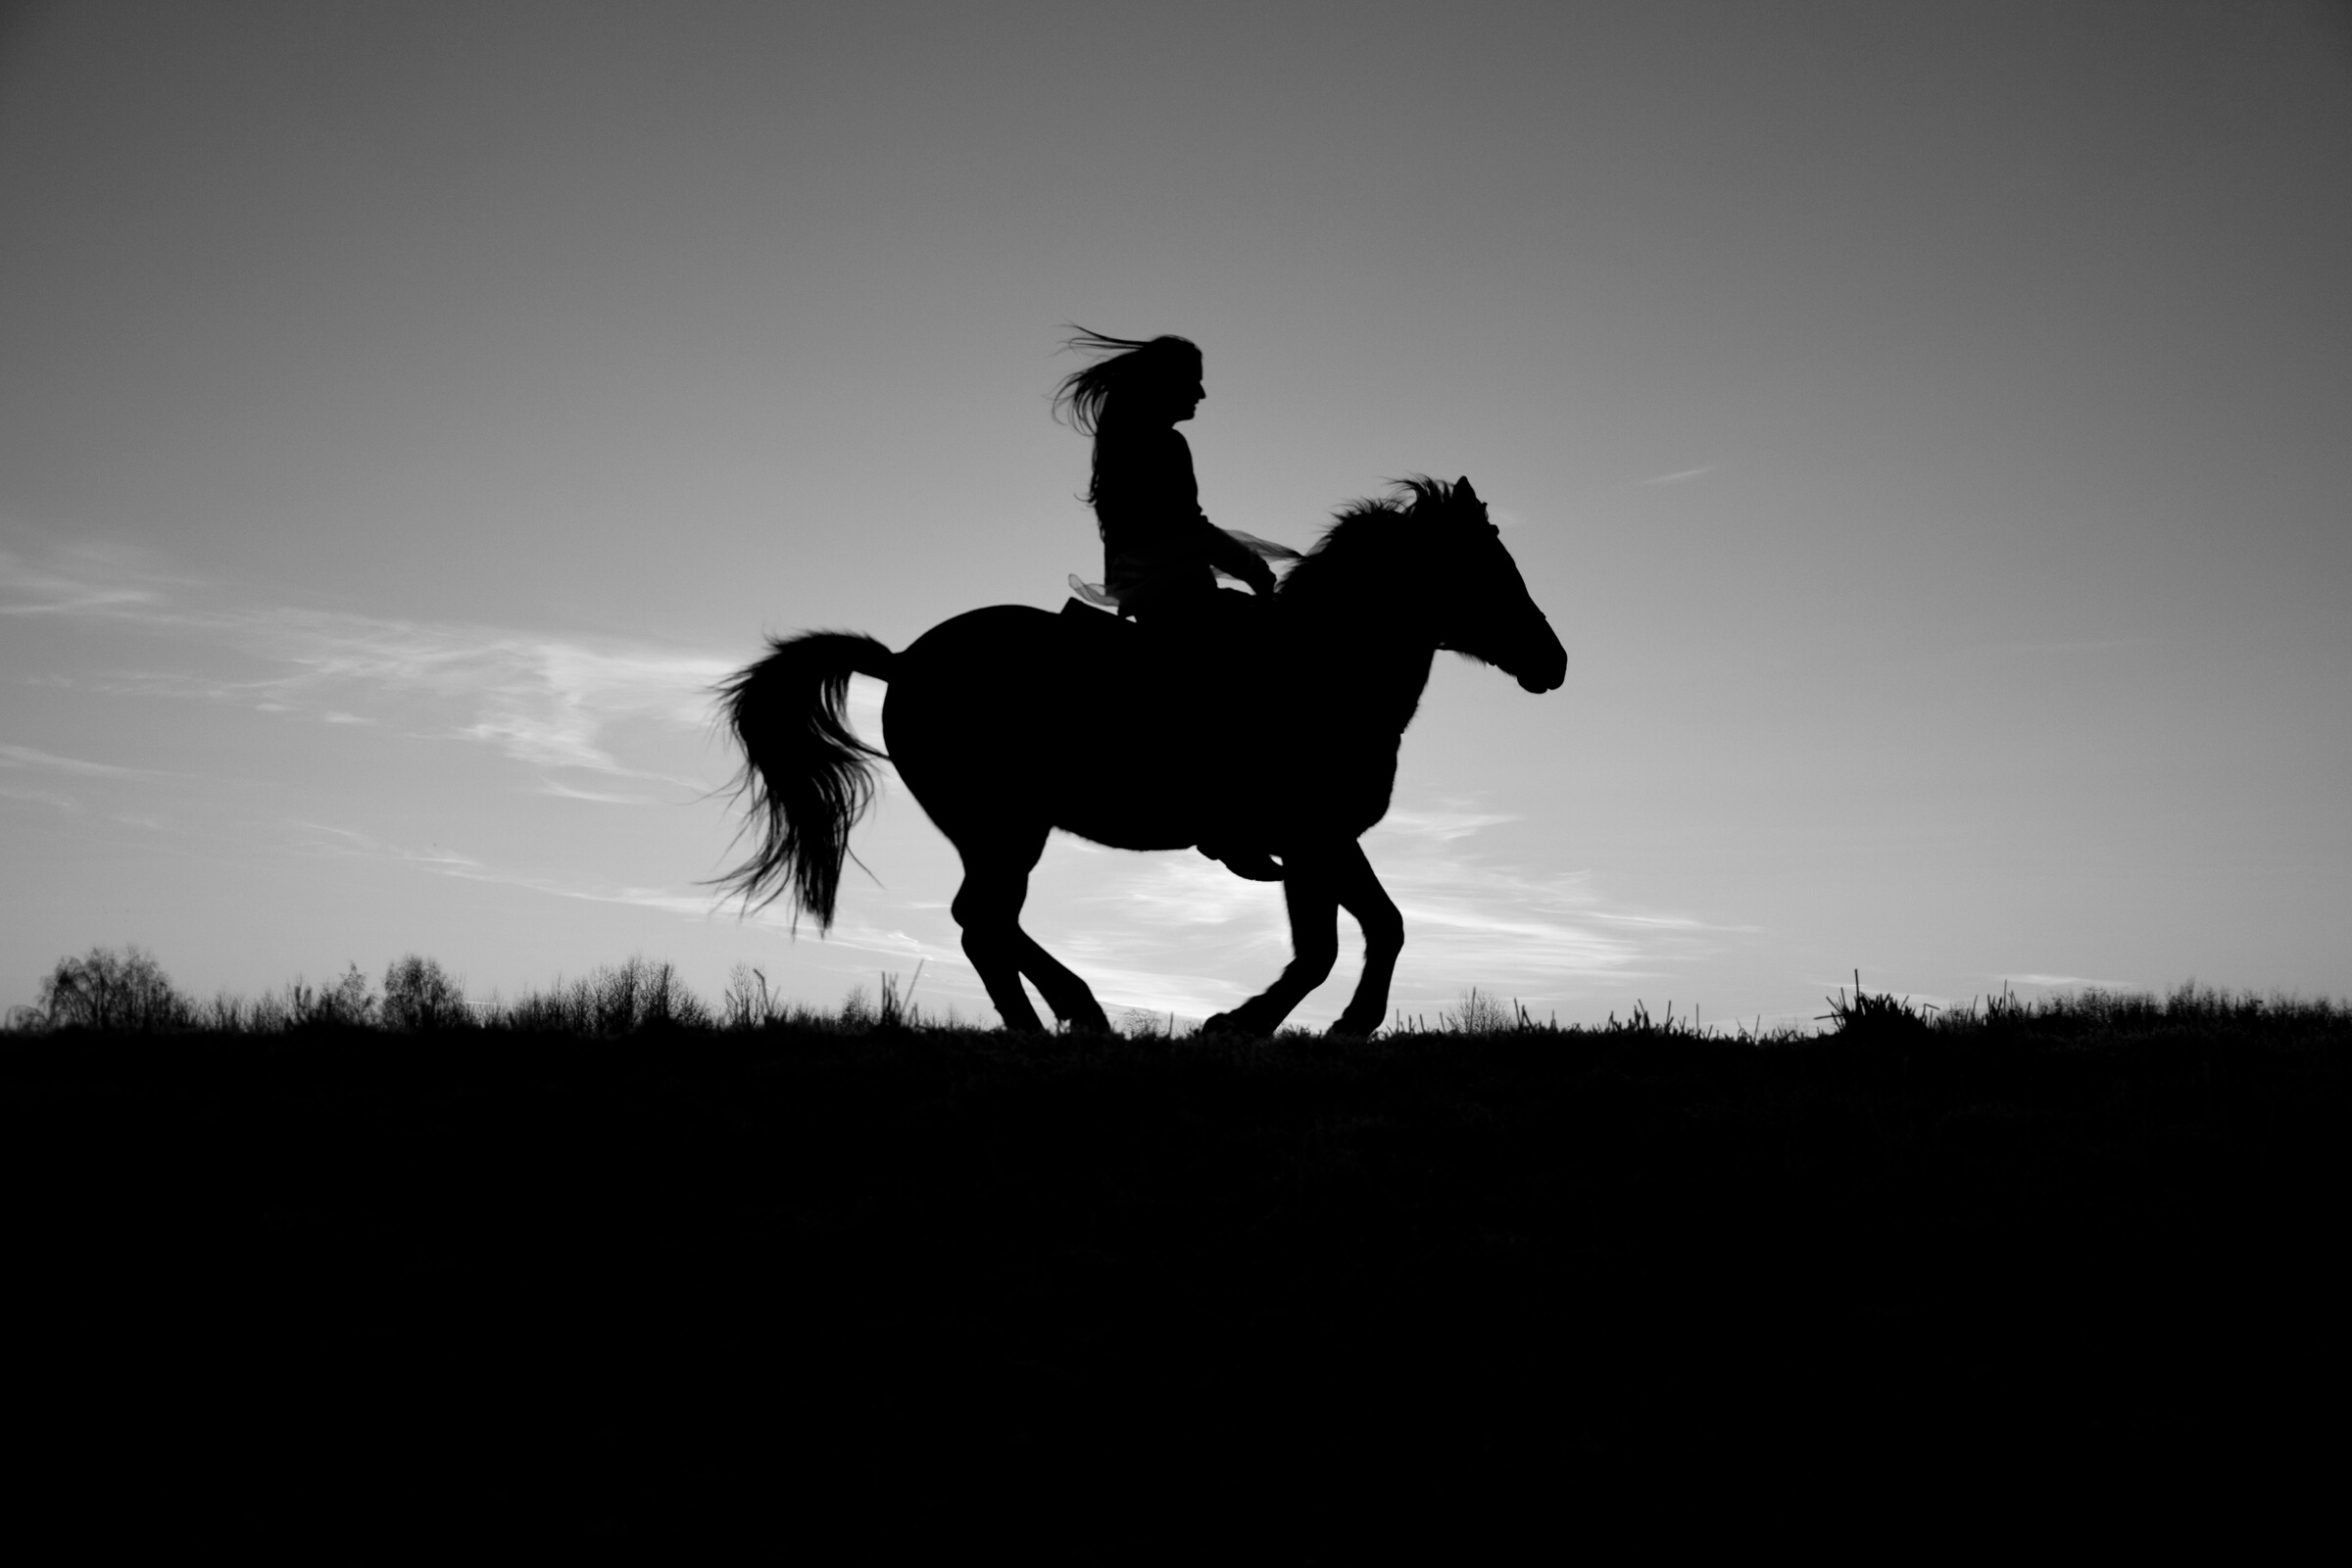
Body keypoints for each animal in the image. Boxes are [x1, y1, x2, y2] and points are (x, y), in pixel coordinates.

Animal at [716, 476, 1566, 1036]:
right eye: (1484, 569)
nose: (1552, 664)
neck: (1320, 668)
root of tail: (901, 663)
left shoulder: (1325, 840)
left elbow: (1379, 927)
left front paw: (1334, 1024)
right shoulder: (1307, 837)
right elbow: (1325, 947)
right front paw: (1248, 1022)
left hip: (1000, 830)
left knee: (986, 922)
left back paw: (1064, 1019)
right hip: (1005, 826)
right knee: (981, 920)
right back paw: (1066, 1019)